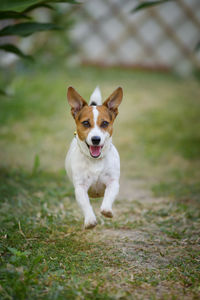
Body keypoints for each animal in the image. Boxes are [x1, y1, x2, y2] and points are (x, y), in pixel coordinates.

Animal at [65, 85, 122, 229]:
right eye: (86, 123)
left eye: (105, 123)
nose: (96, 139)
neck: (95, 160)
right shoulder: (80, 187)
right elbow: (85, 204)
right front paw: (90, 220)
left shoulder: (113, 182)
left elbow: (108, 198)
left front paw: (107, 211)